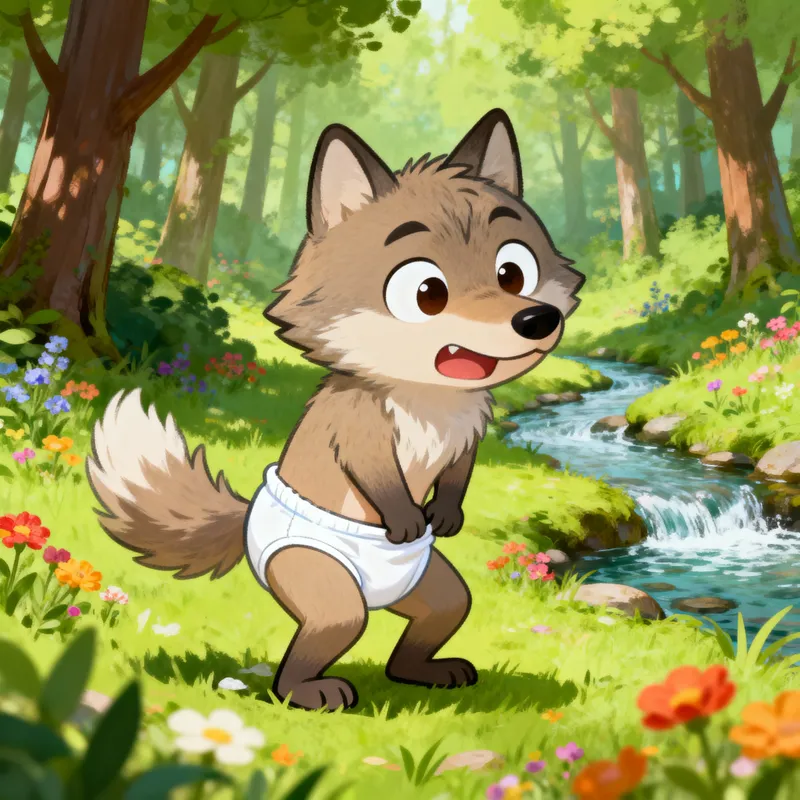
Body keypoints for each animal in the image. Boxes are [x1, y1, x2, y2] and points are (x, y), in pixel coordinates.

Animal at [87, 109, 584, 712]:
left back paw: (426, 671)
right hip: (322, 588)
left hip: (433, 587)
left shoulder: (469, 431)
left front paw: (444, 515)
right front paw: (405, 518)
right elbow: (376, 473)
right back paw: (311, 689)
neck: (429, 398)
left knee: (436, 619)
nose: (536, 320)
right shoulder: (357, 427)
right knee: (323, 637)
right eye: (427, 291)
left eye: (513, 273)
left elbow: (458, 472)